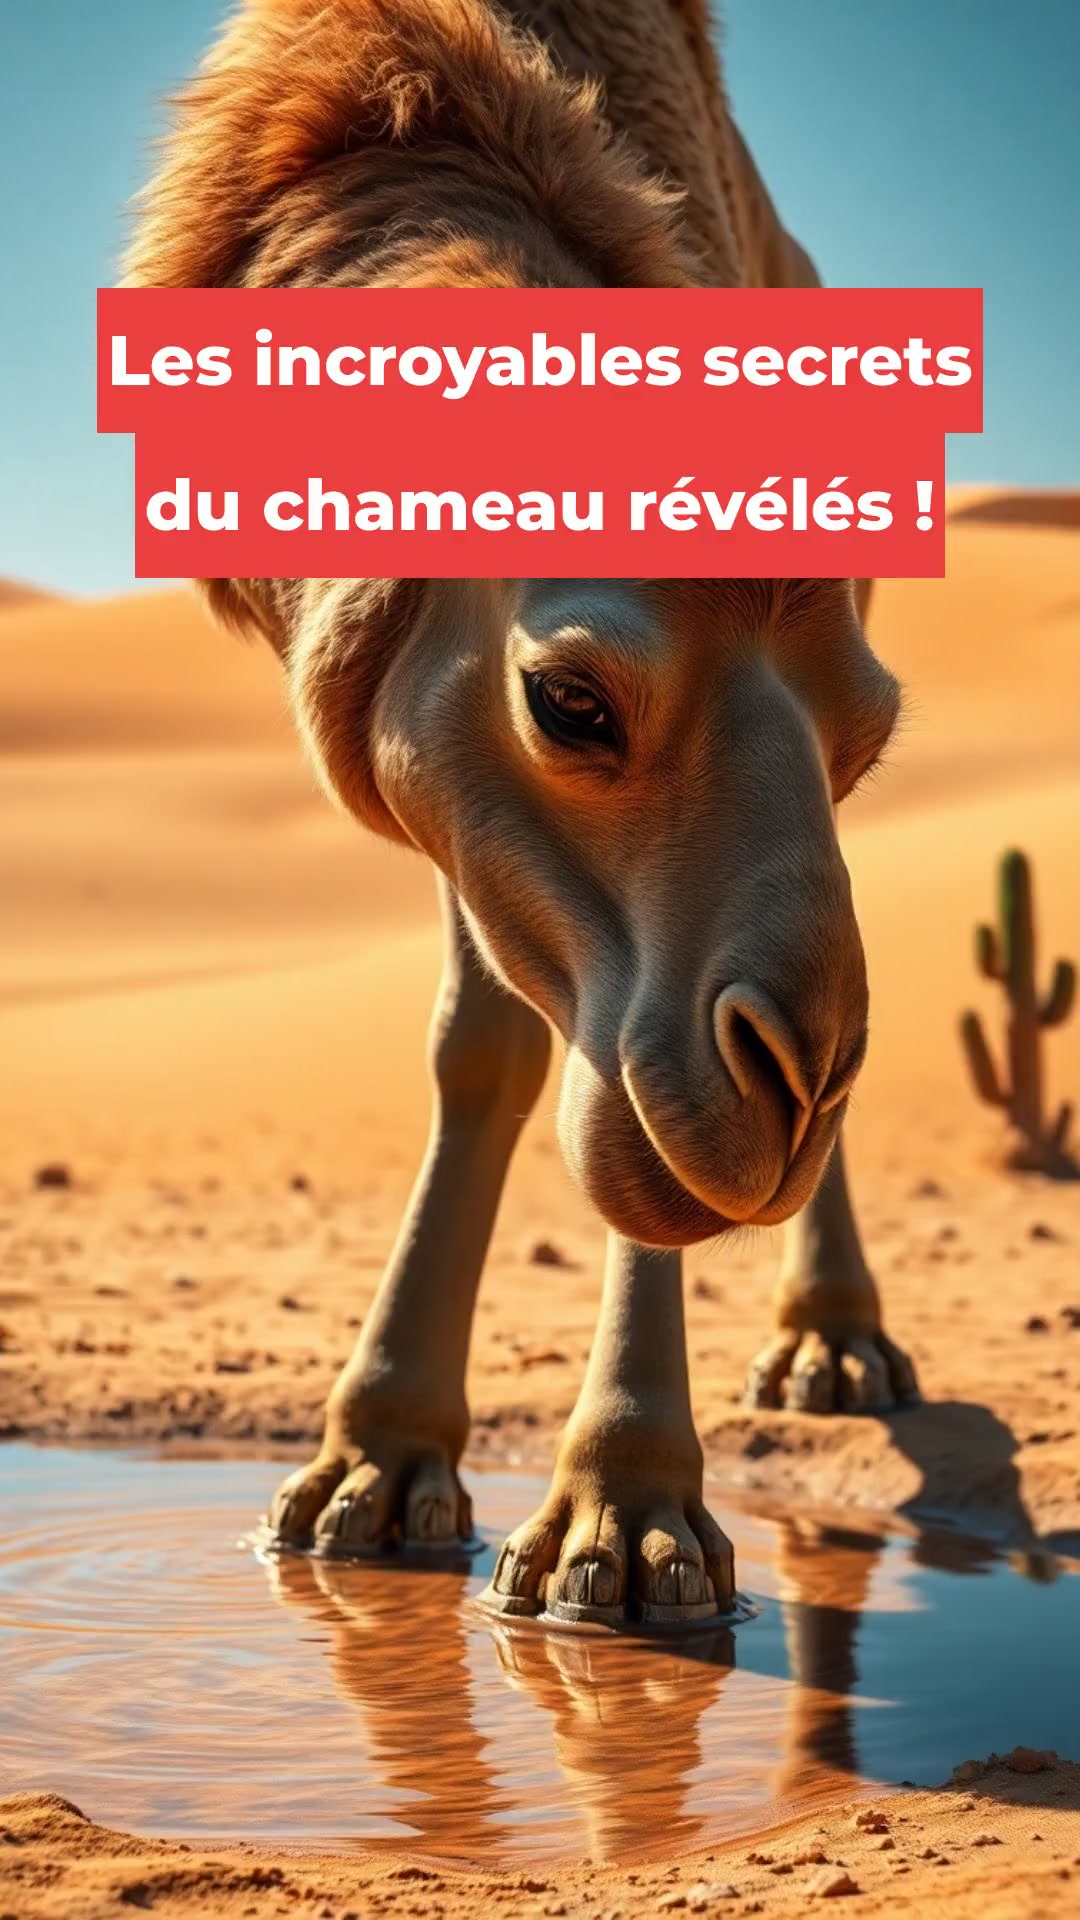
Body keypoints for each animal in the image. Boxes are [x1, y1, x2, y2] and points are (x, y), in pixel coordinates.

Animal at [128, 0, 918, 1627]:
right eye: (570, 700)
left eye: (869, 743)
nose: (792, 1081)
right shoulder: (456, 784)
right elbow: (487, 1042)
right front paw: (369, 1472)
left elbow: (602, 1090)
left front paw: (629, 1522)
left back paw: (832, 1346)